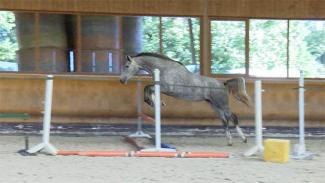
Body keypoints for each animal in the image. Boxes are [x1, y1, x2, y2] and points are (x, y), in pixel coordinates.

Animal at [119, 52, 251, 145]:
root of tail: (223, 84)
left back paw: (243, 139)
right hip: (214, 105)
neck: (164, 69)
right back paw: (230, 141)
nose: (121, 80)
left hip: (222, 104)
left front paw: (155, 102)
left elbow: (148, 88)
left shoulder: (166, 88)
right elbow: (147, 88)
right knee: (224, 121)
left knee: (233, 117)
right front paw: (155, 102)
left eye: (127, 66)